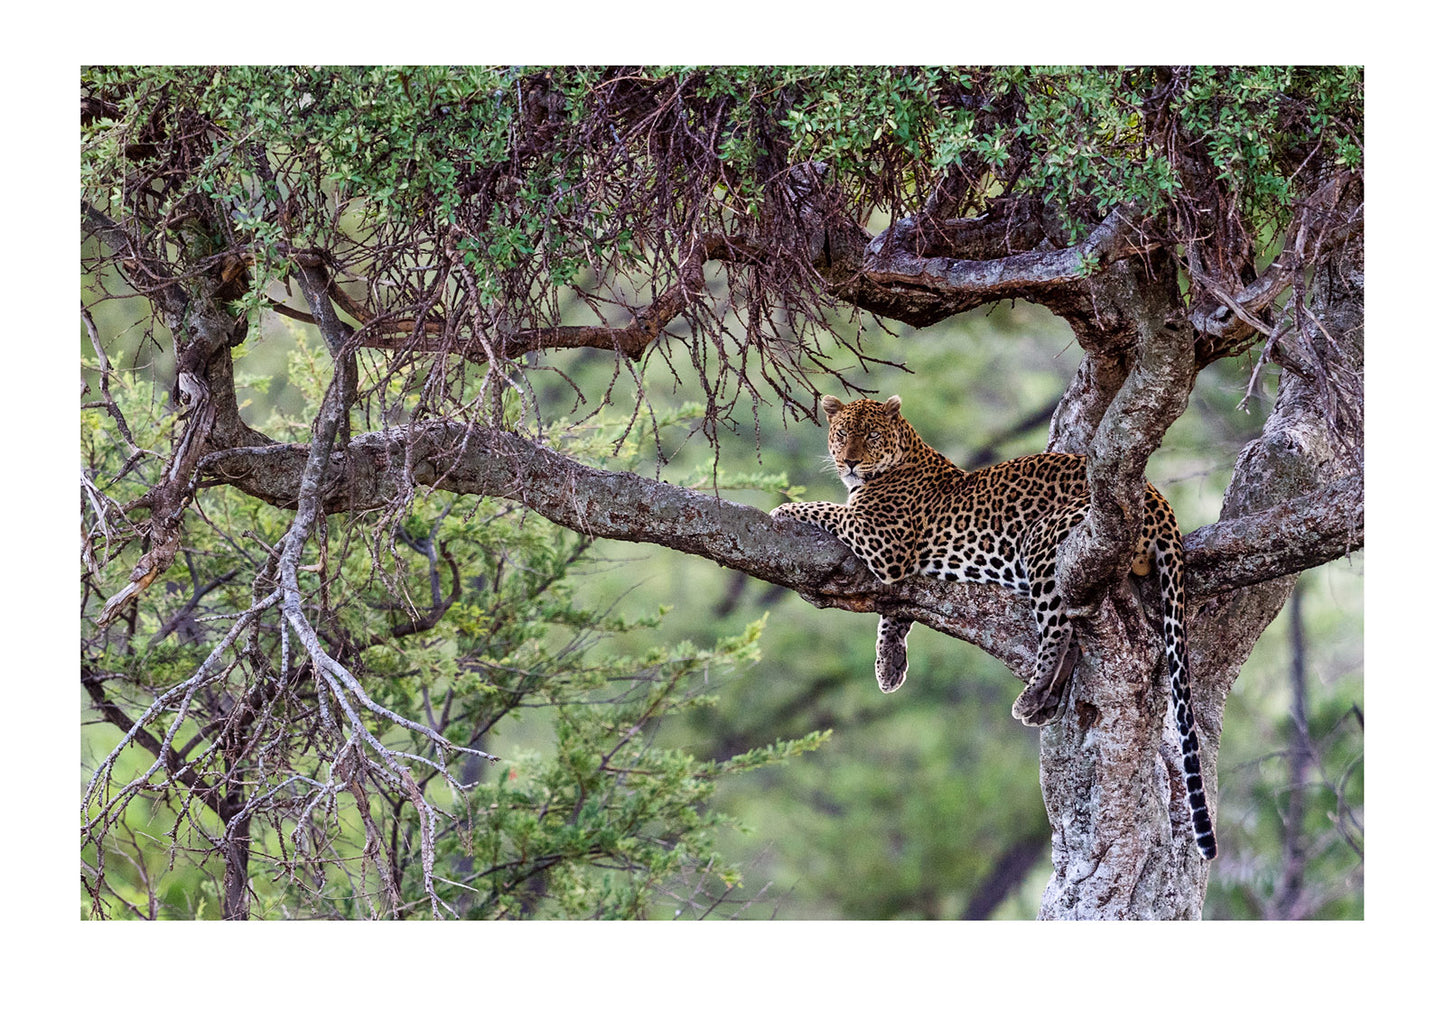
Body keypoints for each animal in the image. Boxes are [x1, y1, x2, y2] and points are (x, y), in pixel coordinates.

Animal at [774, 395, 1213, 860]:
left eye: (871, 435)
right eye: (842, 434)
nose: (850, 461)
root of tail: (1155, 494)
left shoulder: (883, 542)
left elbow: (828, 509)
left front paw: (784, 508)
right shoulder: (897, 568)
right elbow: (894, 612)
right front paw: (889, 665)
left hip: (1042, 541)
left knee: (1058, 627)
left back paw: (1032, 696)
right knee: (1072, 631)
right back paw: (1048, 702)